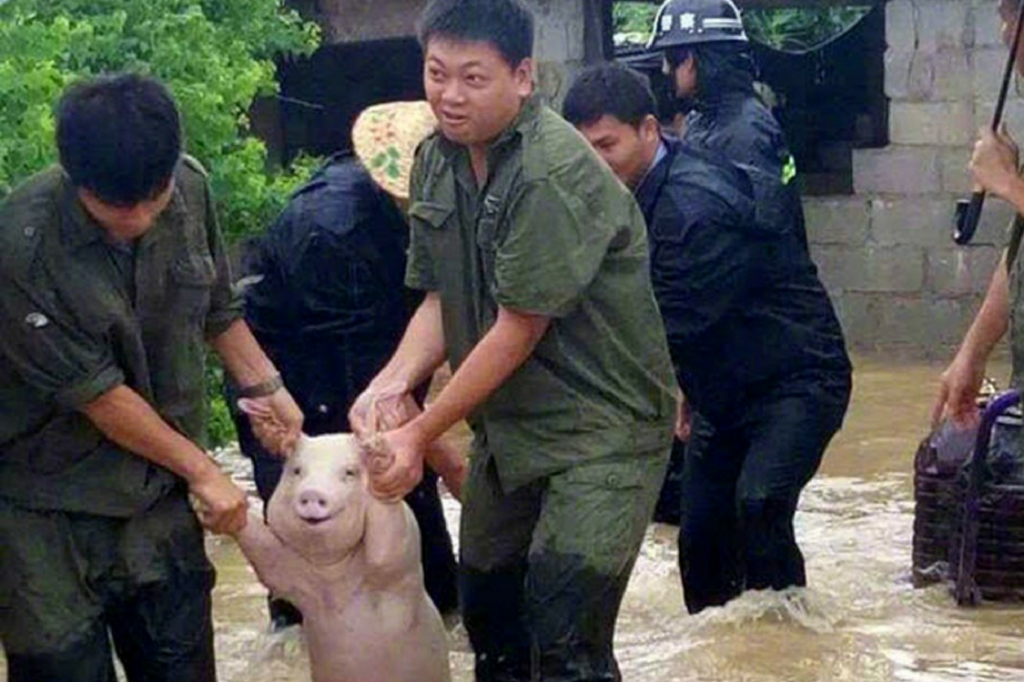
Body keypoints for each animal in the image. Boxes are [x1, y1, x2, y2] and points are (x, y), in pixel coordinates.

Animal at [232, 433, 451, 682]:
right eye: (297, 471)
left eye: (349, 472)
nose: (312, 493)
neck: (332, 575)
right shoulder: (293, 577)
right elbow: (269, 560)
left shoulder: (402, 561)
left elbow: (386, 551)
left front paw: (374, 446)